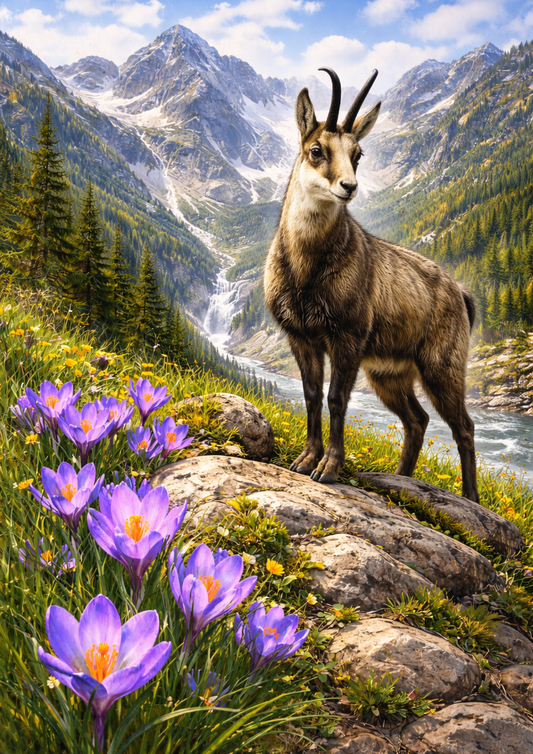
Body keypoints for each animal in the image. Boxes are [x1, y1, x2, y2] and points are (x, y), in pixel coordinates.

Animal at [264, 68, 479, 503]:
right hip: (389, 373)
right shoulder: (301, 336)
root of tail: (461, 294)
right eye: (316, 149)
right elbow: (311, 396)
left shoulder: (347, 336)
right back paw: (401, 479)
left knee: (463, 427)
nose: (348, 187)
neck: (307, 268)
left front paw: (329, 468)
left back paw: (470, 499)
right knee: (417, 420)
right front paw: (305, 460)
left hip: (441, 366)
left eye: (358, 154)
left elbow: (336, 398)